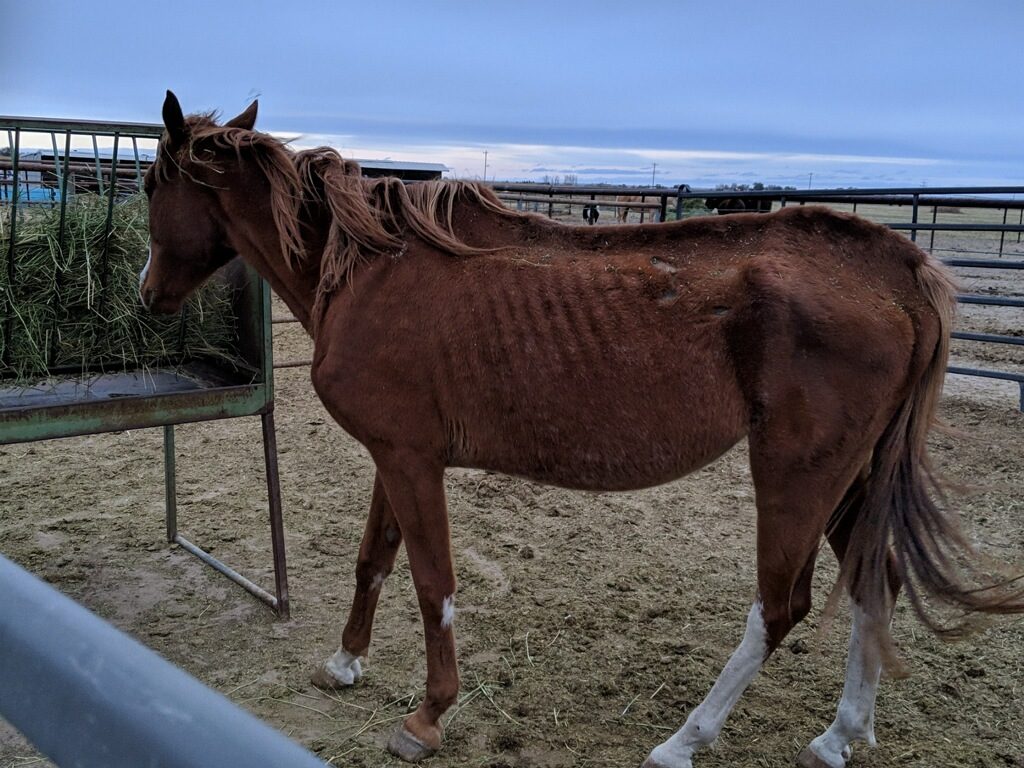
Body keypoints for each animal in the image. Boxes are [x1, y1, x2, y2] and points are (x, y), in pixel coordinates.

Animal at [138, 94, 1024, 768]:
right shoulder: (395, 456)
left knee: (781, 609)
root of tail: (895, 268)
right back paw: (840, 736)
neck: (367, 269)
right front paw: (344, 662)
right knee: (878, 584)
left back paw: (683, 741)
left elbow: (432, 585)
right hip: (855, 479)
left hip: (798, 476)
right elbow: (373, 562)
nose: (147, 293)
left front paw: (427, 716)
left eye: (148, 185)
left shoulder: (412, 461)